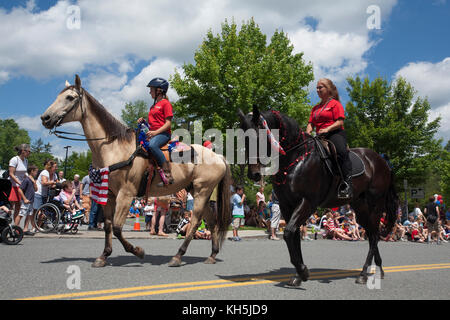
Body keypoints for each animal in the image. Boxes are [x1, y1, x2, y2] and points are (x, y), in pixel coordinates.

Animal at [40, 75, 232, 268]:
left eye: (70, 97)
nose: (45, 117)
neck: (114, 148)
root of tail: (218, 156)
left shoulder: (126, 194)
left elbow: (117, 227)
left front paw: (137, 251)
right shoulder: (108, 194)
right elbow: (108, 226)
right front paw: (104, 255)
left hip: (202, 192)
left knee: (194, 223)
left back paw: (178, 256)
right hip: (198, 191)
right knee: (211, 222)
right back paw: (212, 255)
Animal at [239, 106, 398, 286]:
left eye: (256, 136)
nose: (253, 174)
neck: (296, 156)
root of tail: (383, 161)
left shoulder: (307, 202)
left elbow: (288, 233)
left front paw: (303, 271)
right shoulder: (287, 205)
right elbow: (293, 235)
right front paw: (299, 274)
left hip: (375, 205)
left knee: (375, 235)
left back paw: (364, 273)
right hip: (361, 208)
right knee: (372, 235)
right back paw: (378, 270)